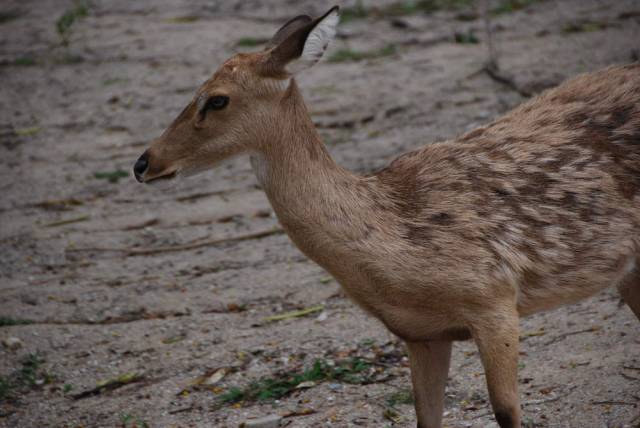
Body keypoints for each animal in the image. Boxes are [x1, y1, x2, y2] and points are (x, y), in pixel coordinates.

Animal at [131, 6, 640, 428]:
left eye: (216, 99)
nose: (143, 163)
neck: (396, 239)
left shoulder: (495, 298)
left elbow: (507, 413)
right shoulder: (421, 334)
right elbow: (426, 419)